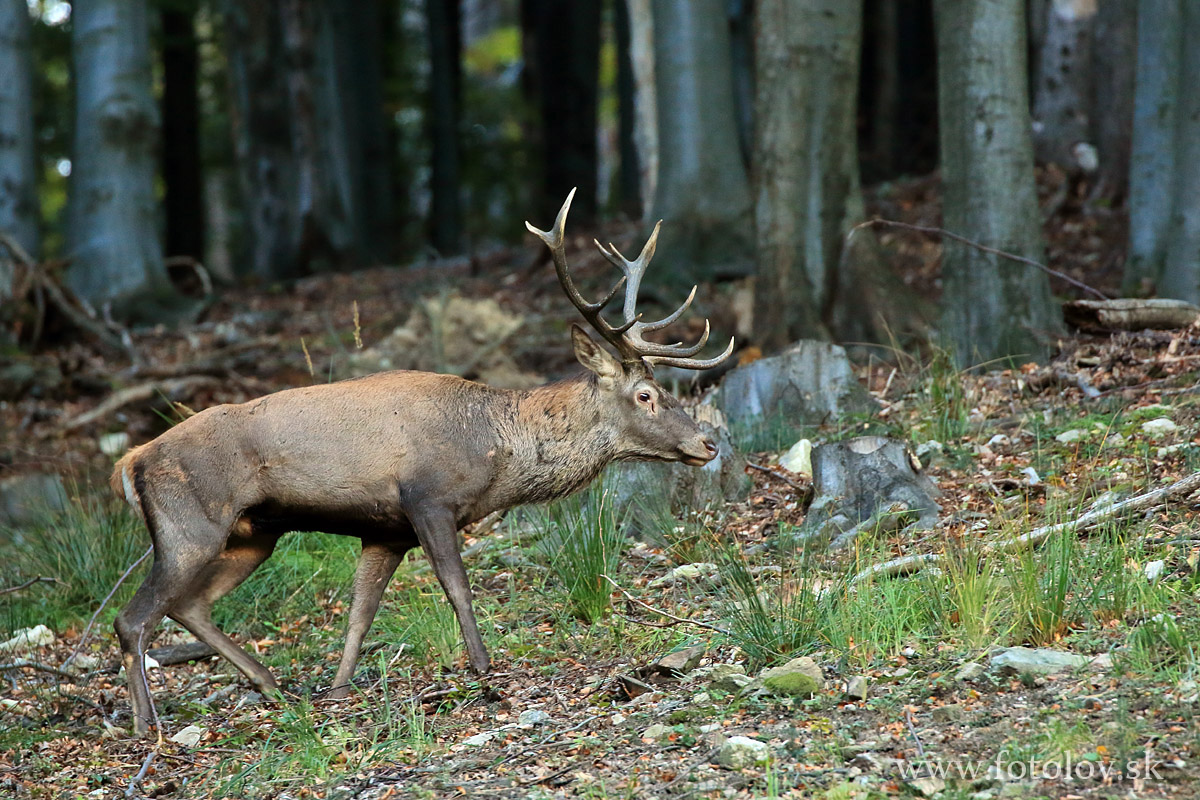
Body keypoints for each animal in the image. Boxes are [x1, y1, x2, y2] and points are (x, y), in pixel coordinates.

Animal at [110, 189, 729, 738]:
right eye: (645, 395)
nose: (708, 443)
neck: (496, 449)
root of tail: (131, 461)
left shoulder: (385, 532)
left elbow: (360, 613)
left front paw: (340, 687)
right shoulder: (428, 498)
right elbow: (457, 586)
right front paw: (484, 669)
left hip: (254, 534)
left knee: (190, 604)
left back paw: (272, 686)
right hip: (189, 523)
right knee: (133, 616)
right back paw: (146, 725)